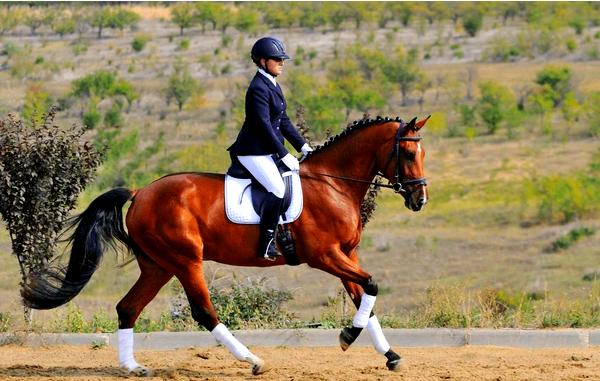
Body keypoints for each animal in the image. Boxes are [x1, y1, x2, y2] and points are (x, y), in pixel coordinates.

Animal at [21, 114, 428, 376]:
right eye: (408, 154)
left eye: (422, 154)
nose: (419, 200)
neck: (332, 184)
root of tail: (140, 193)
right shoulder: (325, 256)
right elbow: (371, 285)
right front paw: (347, 337)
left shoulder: (346, 254)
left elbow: (365, 299)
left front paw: (390, 355)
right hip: (186, 261)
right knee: (204, 312)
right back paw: (252, 361)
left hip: (158, 265)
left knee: (128, 307)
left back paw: (133, 367)